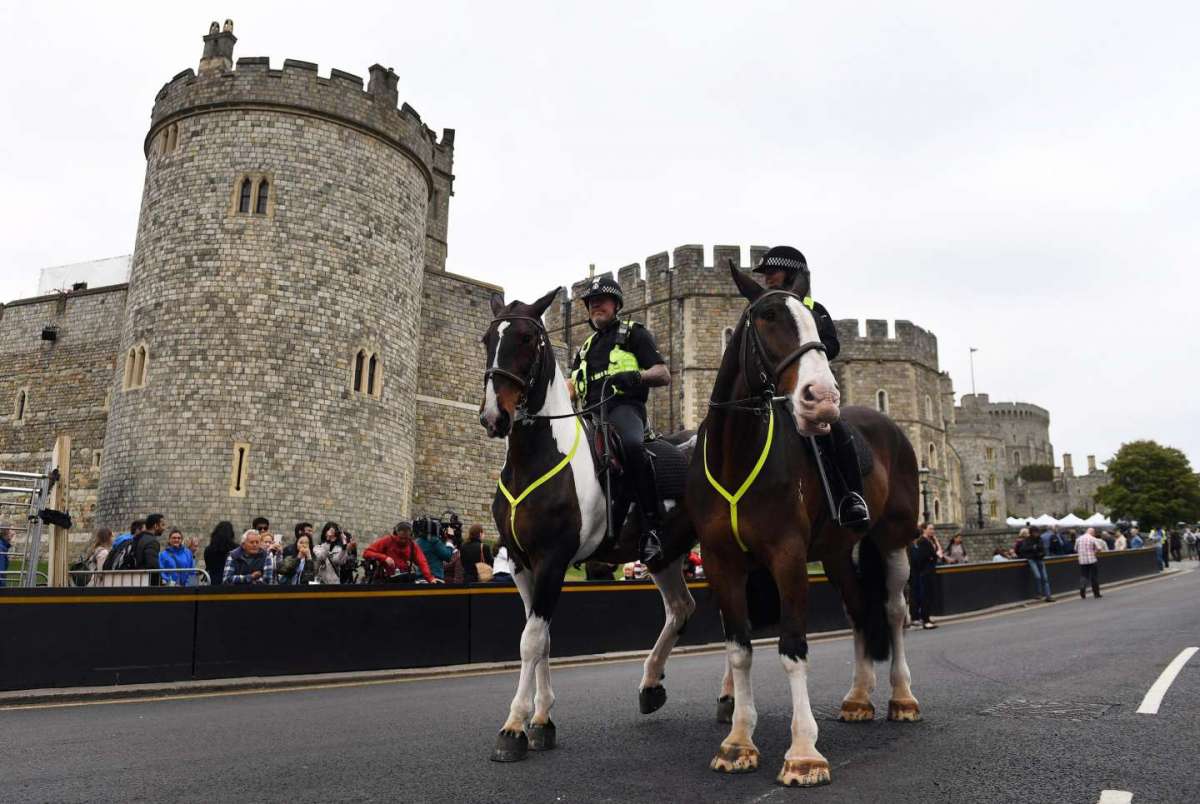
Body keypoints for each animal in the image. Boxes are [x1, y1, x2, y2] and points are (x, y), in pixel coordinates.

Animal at [477, 288, 700, 763]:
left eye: (527, 338)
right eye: (487, 338)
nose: (493, 416)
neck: (537, 457)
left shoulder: (553, 560)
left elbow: (531, 640)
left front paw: (513, 727)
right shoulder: (522, 563)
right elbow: (541, 639)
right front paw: (542, 721)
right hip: (666, 554)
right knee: (680, 608)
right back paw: (652, 686)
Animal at [691, 264, 921, 787]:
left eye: (817, 321)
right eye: (767, 316)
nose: (823, 400)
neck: (736, 453)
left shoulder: (788, 555)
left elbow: (792, 647)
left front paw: (803, 753)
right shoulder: (721, 560)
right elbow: (739, 649)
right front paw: (738, 742)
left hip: (894, 539)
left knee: (893, 610)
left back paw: (901, 697)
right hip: (836, 552)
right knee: (858, 609)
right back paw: (858, 698)